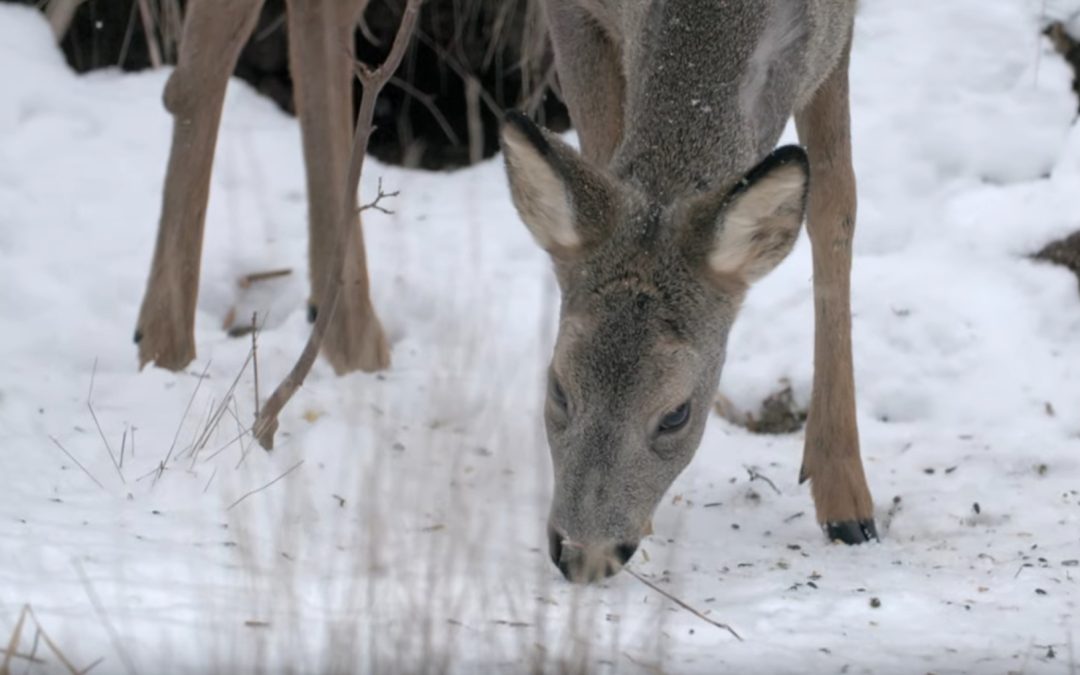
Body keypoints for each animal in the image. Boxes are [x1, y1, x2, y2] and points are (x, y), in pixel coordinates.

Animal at [501, 0, 872, 583]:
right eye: (558, 388)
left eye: (678, 413)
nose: (583, 556)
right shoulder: (570, 13)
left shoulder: (837, 31)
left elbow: (836, 203)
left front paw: (847, 502)